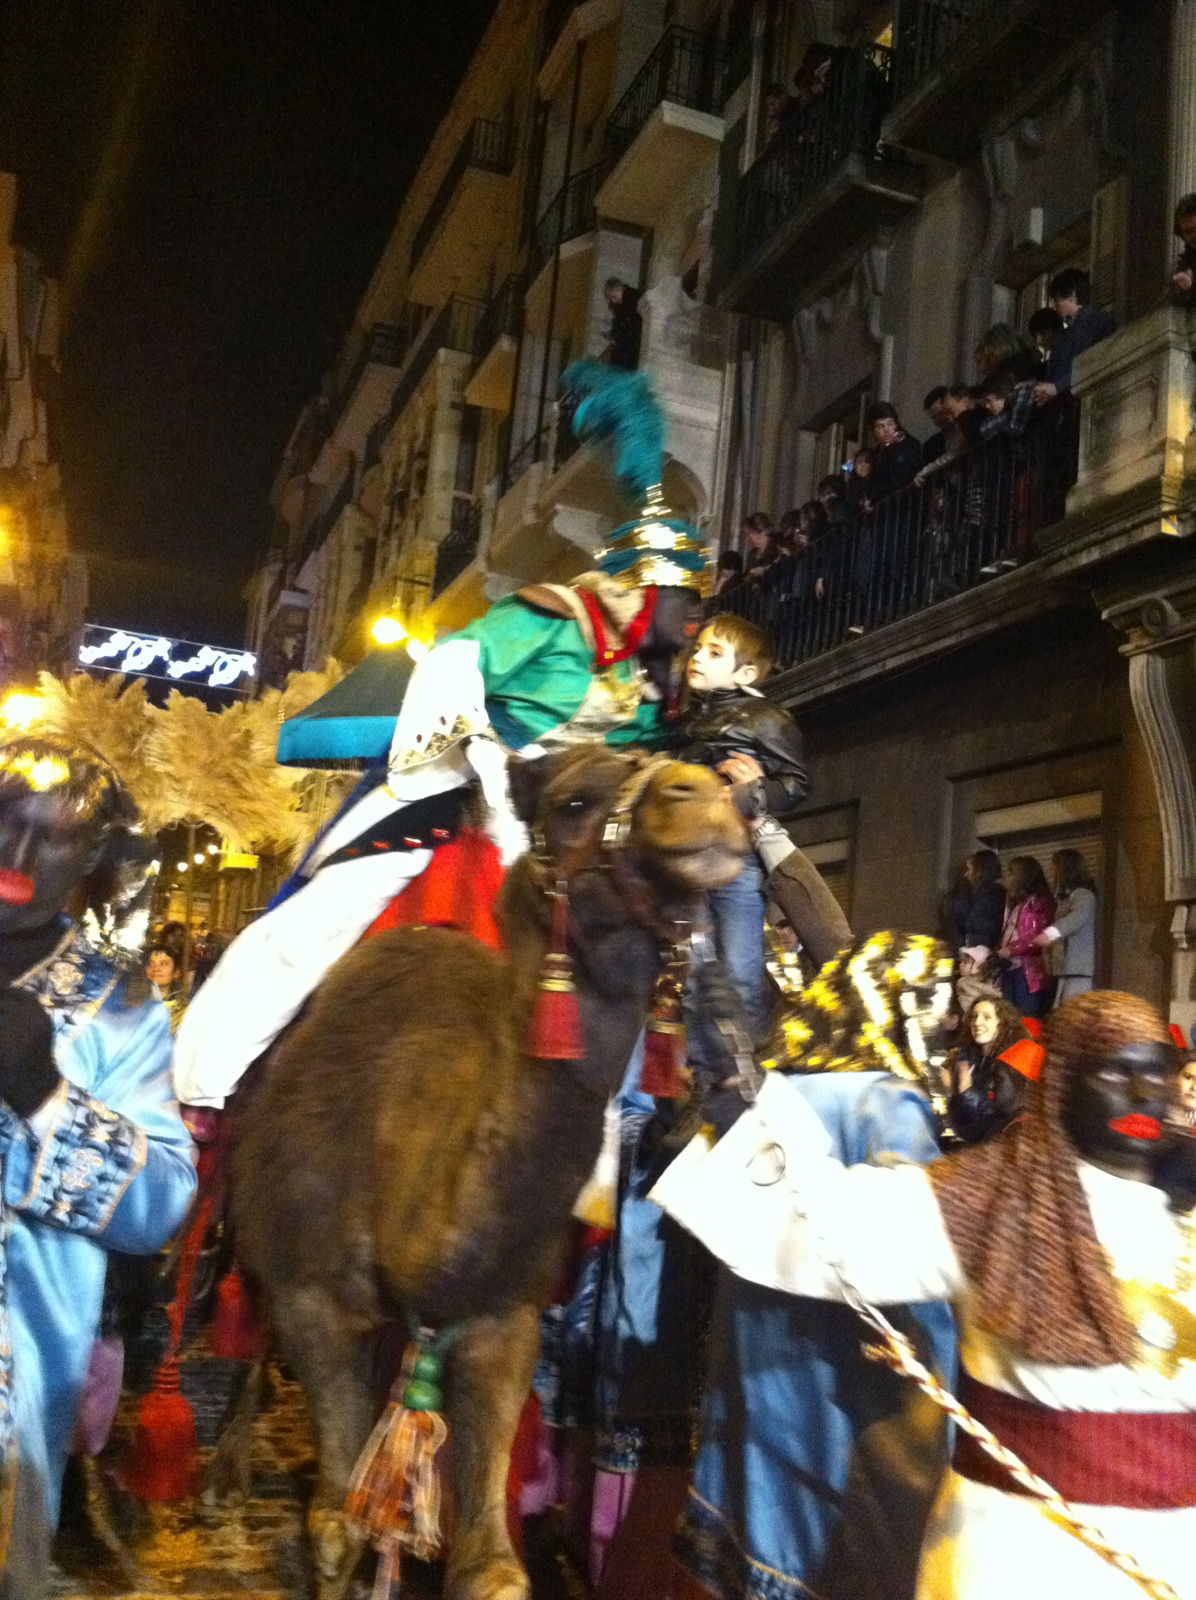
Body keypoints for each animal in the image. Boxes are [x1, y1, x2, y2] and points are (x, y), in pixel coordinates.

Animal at [225, 745, 748, 1600]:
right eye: (573, 802)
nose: (703, 794)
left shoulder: (504, 1316)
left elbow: (490, 1570)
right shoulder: (314, 1295)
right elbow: (334, 1528)